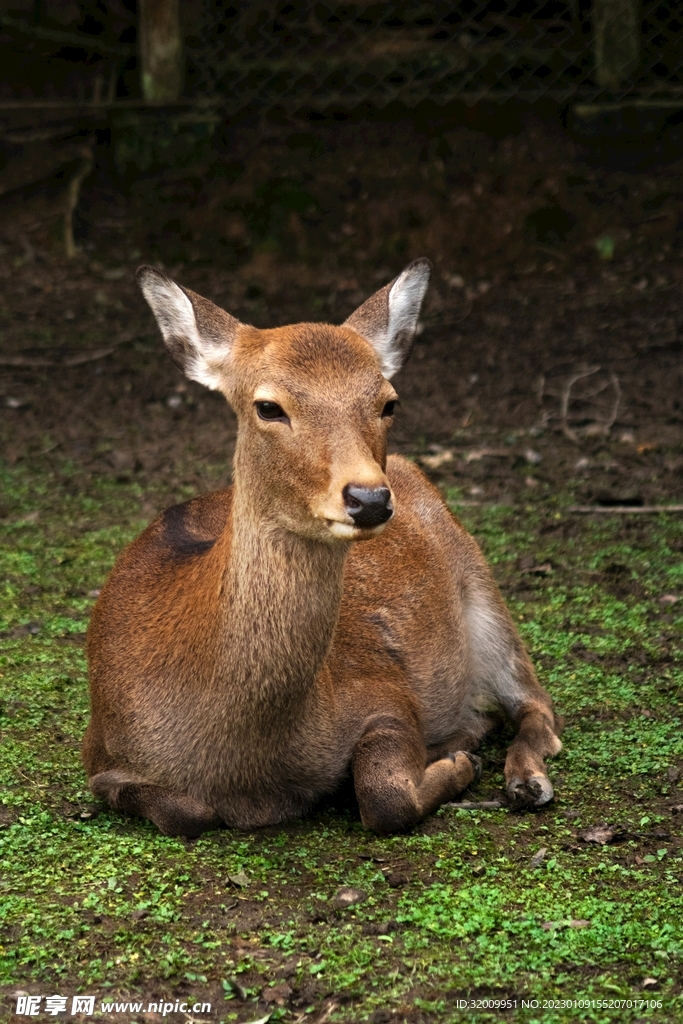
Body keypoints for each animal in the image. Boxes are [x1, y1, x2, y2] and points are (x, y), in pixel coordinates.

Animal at [83, 258, 563, 837]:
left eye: (388, 401)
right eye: (268, 406)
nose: (370, 497)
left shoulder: (384, 692)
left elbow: (385, 795)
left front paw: (458, 761)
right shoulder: (101, 753)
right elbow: (184, 812)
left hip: (482, 587)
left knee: (536, 704)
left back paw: (524, 779)